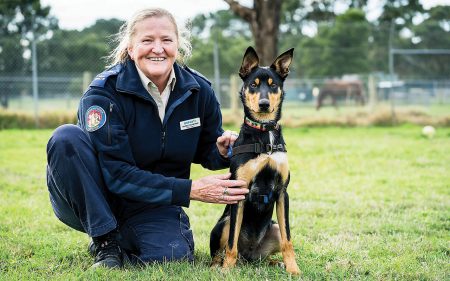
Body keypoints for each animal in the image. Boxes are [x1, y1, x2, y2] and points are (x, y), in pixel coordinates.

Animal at [210, 46, 300, 274]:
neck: (264, 133)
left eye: (273, 85)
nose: (264, 104)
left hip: (273, 228)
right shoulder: (238, 192)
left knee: (267, 253)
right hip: (223, 224)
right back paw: (219, 267)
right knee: (219, 253)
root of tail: (248, 256)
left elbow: (288, 240)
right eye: (253, 85)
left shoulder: (282, 192)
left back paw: (275, 263)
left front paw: (293, 269)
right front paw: (227, 270)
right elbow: (231, 242)